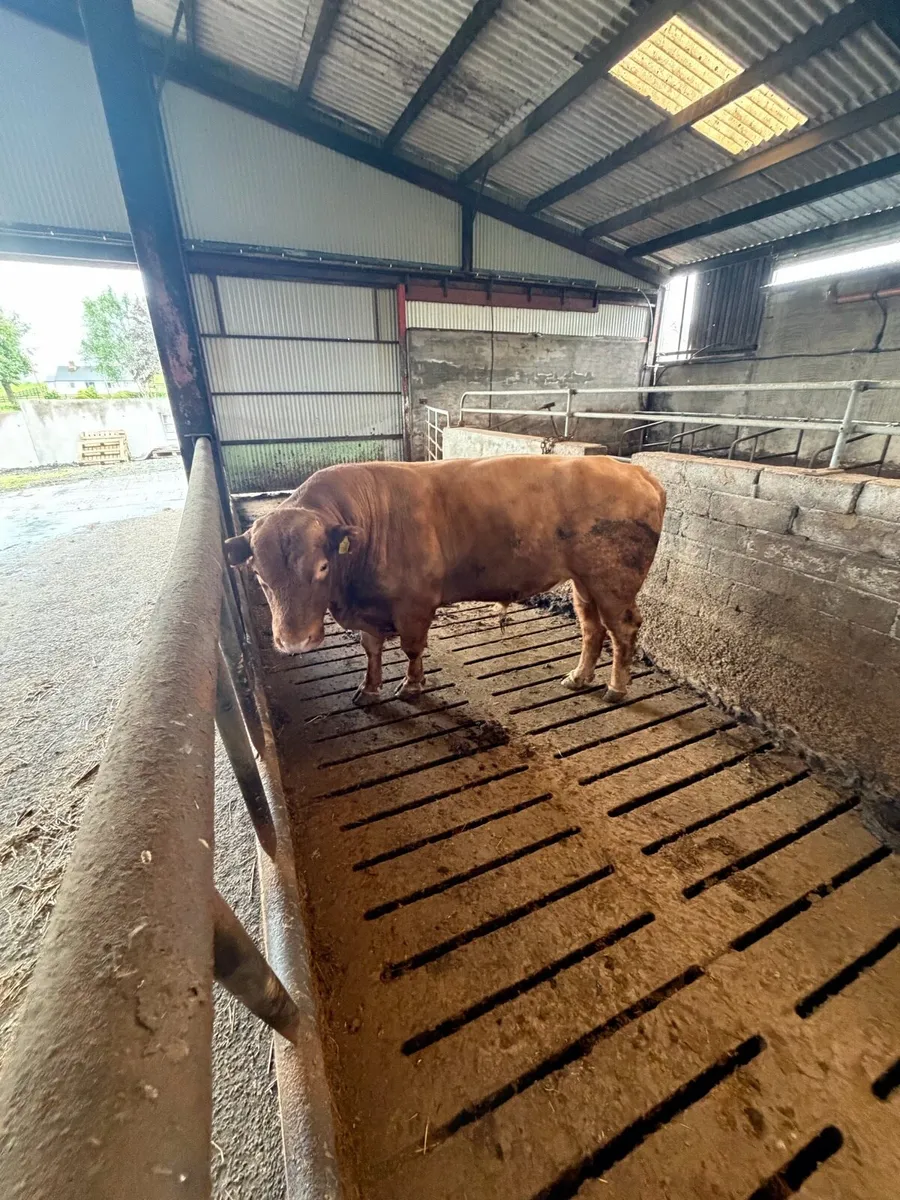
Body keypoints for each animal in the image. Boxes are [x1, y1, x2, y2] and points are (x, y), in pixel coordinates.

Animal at [225, 456, 665, 707]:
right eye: (259, 575)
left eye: (321, 567)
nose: (294, 642)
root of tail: (632, 469)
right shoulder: (370, 609)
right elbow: (372, 649)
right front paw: (369, 689)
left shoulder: (414, 604)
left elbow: (411, 648)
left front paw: (412, 687)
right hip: (584, 580)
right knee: (592, 627)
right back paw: (578, 677)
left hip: (613, 579)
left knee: (622, 629)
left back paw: (616, 688)